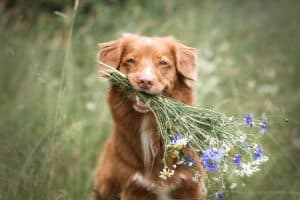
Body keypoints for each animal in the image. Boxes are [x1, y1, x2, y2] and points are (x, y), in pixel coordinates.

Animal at [94, 34, 206, 200]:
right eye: (131, 60)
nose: (145, 81)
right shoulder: (133, 188)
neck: (149, 121)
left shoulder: (191, 187)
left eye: (163, 63)